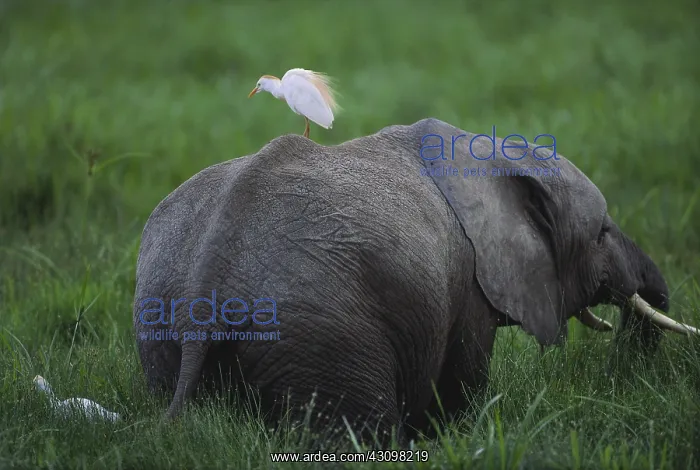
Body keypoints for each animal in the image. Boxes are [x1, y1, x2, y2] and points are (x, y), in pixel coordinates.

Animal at [133, 117, 698, 446]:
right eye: (602, 233)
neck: (488, 154)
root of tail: (210, 275)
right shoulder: (467, 283)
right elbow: (461, 384)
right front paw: (453, 440)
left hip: (161, 319)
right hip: (320, 334)